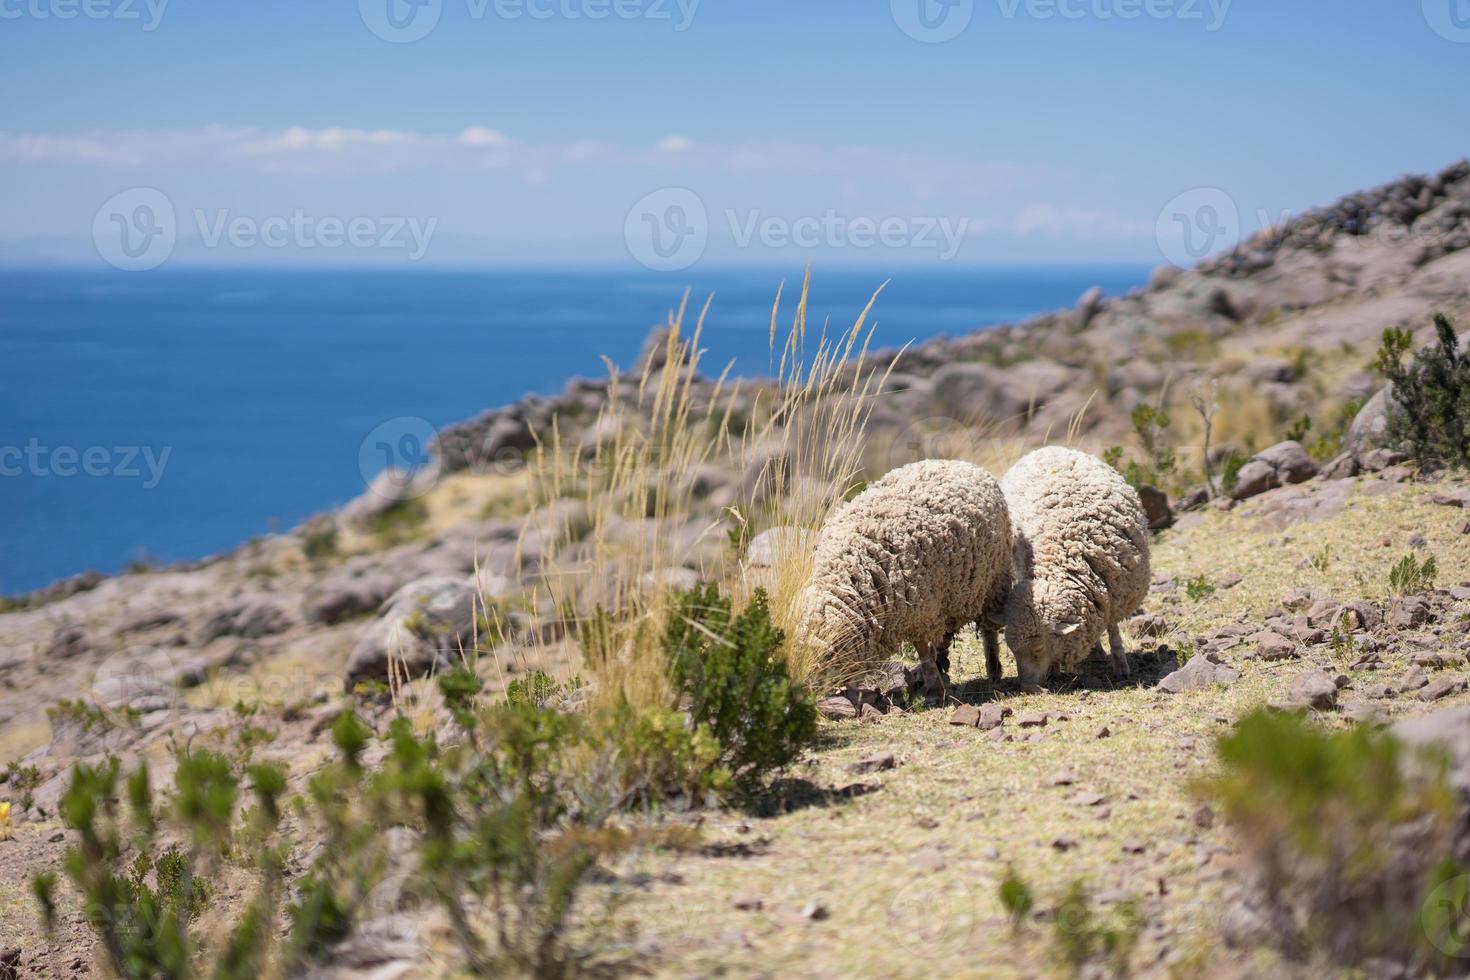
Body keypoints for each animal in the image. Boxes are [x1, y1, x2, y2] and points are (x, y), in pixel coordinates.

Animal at [799, 461, 1017, 696]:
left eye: (821, 661)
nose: (806, 693)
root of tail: (958, 463)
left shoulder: (922, 612)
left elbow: (923, 651)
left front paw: (933, 688)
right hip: (949, 595)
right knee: (946, 634)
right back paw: (945, 665)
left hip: (993, 581)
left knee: (988, 631)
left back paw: (993, 670)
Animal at [1005, 446, 1152, 687]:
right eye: (1013, 650)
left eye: (1038, 648)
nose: (1027, 687)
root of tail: (1048, 448)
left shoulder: (1115, 595)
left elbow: (1113, 629)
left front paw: (1121, 664)